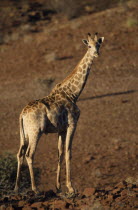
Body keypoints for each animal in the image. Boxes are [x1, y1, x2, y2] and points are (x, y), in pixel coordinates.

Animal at [14, 32, 104, 194]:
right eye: (89, 45)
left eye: (98, 44)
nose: (96, 54)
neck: (73, 93)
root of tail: (22, 114)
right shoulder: (72, 124)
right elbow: (68, 152)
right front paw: (70, 187)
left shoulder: (60, 129)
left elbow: (59, 153)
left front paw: (58, 186)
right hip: (35, 131)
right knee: (30, 154)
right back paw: (35, 188)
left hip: (23, 133)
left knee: (20, 153)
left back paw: (17, 187)